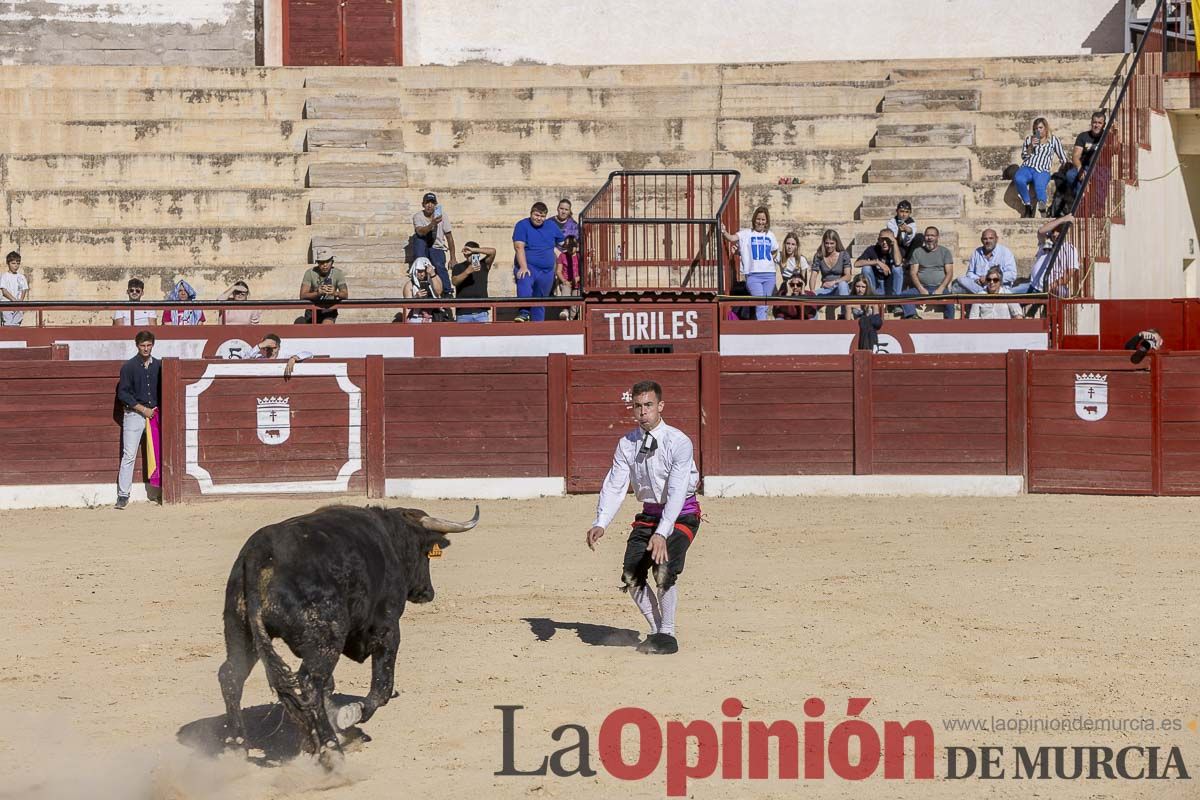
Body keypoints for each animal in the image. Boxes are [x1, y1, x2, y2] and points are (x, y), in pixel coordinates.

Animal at [216, 503, 477, 762]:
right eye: (424, 553)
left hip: (241, 630)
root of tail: (260, 551)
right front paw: (349, 715)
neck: (391, 537)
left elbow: (329, 688)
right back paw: (331, 747)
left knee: (232, 675)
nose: (427, 592)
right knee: (309, 683)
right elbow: (382, 687)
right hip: (326, 638)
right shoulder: (387, 629)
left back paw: (235, 745)